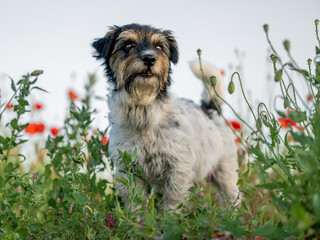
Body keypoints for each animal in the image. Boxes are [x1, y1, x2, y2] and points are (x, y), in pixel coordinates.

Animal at [91, 22, 239, 210]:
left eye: (159, 47)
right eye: (128, 45)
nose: (149, 58)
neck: (143, 112)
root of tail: (211, 109)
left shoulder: (178, 169)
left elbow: (172, 203)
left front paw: (170, 218)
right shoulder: (128, 169)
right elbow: (135, 203)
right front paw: (136, 218)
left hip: (225, 173)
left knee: (234, 198)